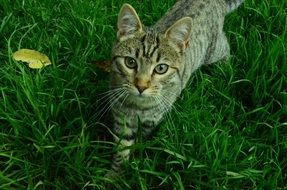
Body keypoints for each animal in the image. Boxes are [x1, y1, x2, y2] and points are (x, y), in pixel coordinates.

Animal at [107, 0, 244, 175]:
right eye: (130, 62)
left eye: (161, 68)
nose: (141, 86)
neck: (138, 106)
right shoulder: (121, 118)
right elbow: (122, 148)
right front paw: (115, 174)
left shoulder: (152, 120)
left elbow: (140, 140)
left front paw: (135, 162)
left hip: (214, 50)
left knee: (225, 46)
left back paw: (226, 68)